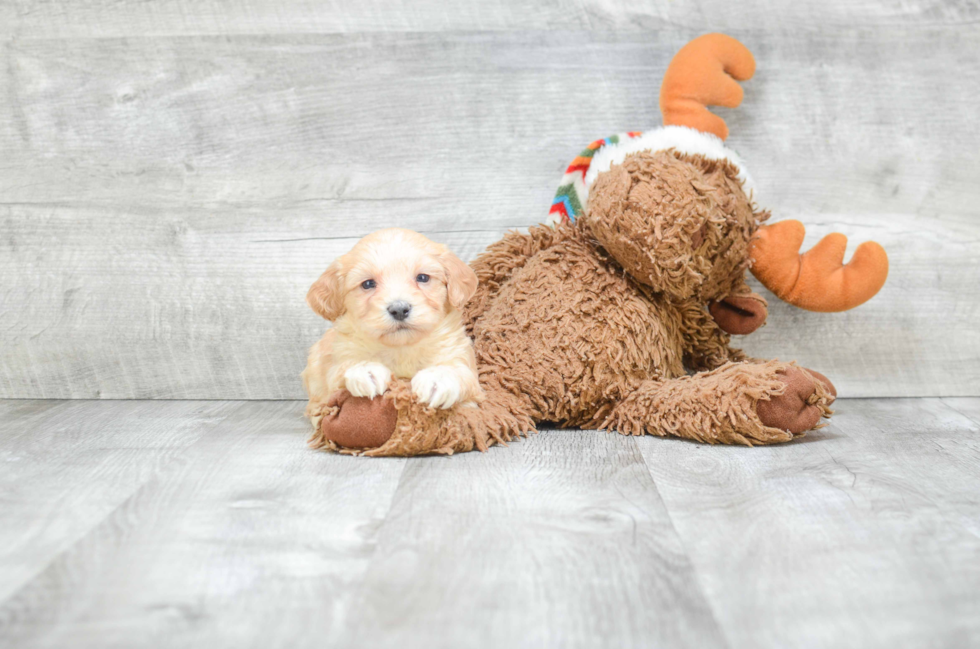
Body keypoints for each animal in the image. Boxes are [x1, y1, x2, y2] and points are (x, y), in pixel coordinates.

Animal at [298, 228, 482, 430]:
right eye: (368, 284)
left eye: (423, 278)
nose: (399, 309)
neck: (401, 348)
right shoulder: (339, 356)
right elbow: (342, 368)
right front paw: (365, 371)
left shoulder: (462, 360)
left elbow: (460, 373)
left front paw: (437, 379)